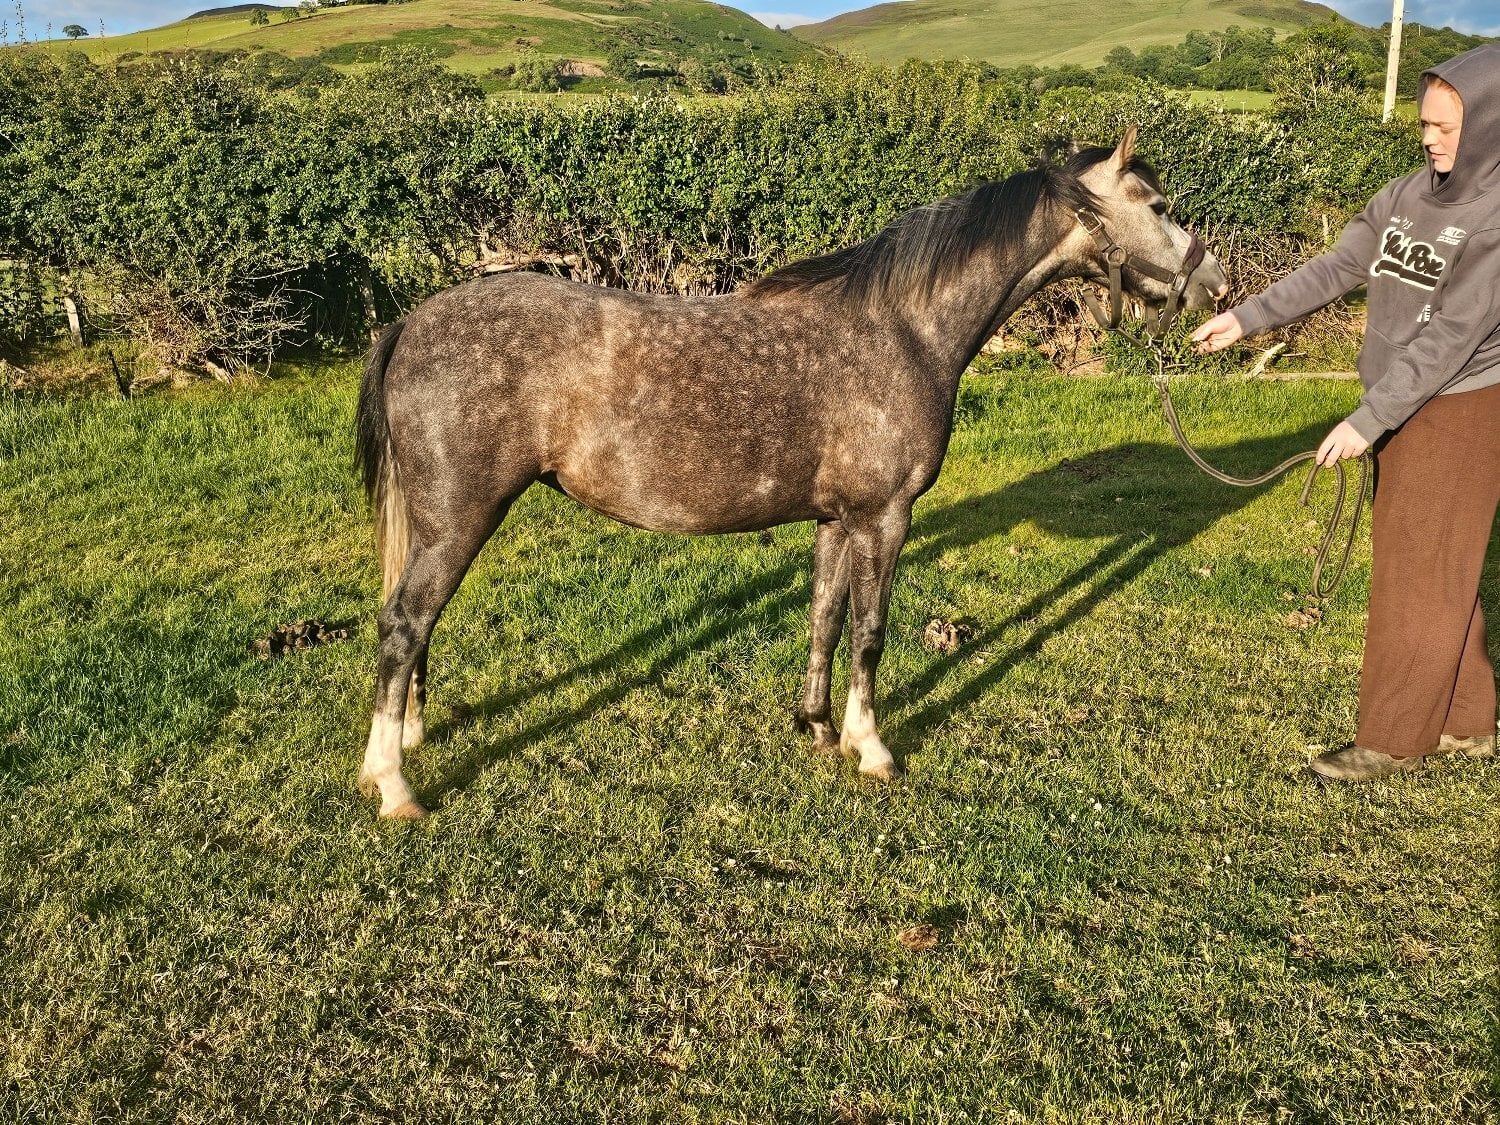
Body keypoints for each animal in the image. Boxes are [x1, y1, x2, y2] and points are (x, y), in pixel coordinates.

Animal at [353, 128, 1229, 818]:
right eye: (1158, 205)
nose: (1215, 285)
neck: (901, 329)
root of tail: (413, 322)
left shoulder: (837, 519)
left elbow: (825, 619)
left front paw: (817, 726)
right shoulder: (884, 517)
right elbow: (871, 633)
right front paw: (871, 747)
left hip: (439, 524)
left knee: (415, 626)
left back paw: (411, 736)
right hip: (460, 519)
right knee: (403, 624)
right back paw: (392, 782)